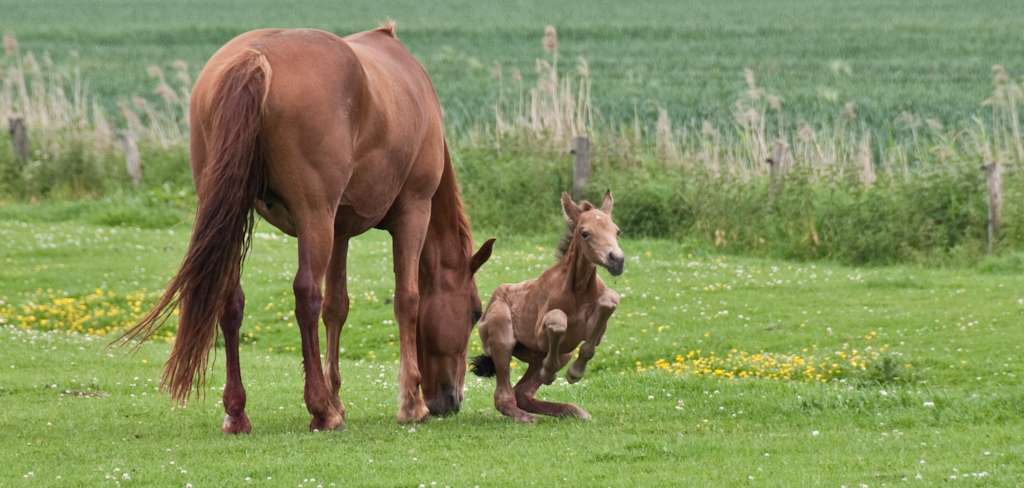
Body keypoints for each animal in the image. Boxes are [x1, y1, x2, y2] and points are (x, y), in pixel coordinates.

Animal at [117, 24, 493, 431]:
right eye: (475, 312)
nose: (449, 402)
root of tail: (255, 57)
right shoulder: (413, 211)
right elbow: (406, 300)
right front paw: (409, 404)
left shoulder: (340, 229)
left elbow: (337, 307)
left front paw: (338, 397)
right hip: (314, 215)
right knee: (306, 295)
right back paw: (320, 410)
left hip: (243, 217)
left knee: (232, 299)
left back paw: (239, 412)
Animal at [471, 190, 622, 421]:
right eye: (585, 233)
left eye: (617, 231)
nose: (617, 259)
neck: (578, 292)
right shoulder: (541, 337)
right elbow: (557, 320)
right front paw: (551, 373)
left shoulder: (594, 333)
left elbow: (610, 300)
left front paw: (575, 372)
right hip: (503, 337)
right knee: (504, 395)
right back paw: (525, 416)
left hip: (556, 354)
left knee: (522, 392)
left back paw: (573, 410)